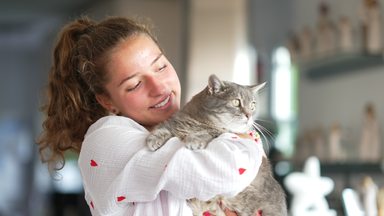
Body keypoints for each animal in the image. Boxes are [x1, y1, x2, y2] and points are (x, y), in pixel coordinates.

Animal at [146, 74, 286, 216]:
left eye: (252, 105)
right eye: (236, 102)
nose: (249, 116)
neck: (198, 122)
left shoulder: (223, 133)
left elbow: (212, 132)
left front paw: (196, 138)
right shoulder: (172, 122)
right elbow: (163, 129)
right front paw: (153, 139)